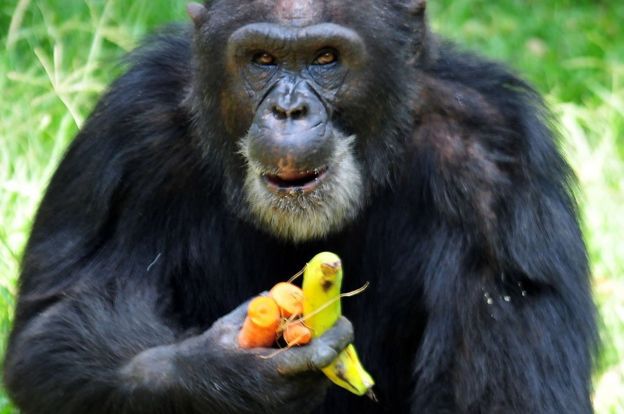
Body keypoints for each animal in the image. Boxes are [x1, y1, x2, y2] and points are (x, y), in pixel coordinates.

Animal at [4, 0, 596, 414]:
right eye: (262, 60)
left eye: (326, 57)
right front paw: (230, 374)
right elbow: (51, 330)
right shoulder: (130, 129)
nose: (289, 109)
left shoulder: (500, 164)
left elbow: (507, 395)